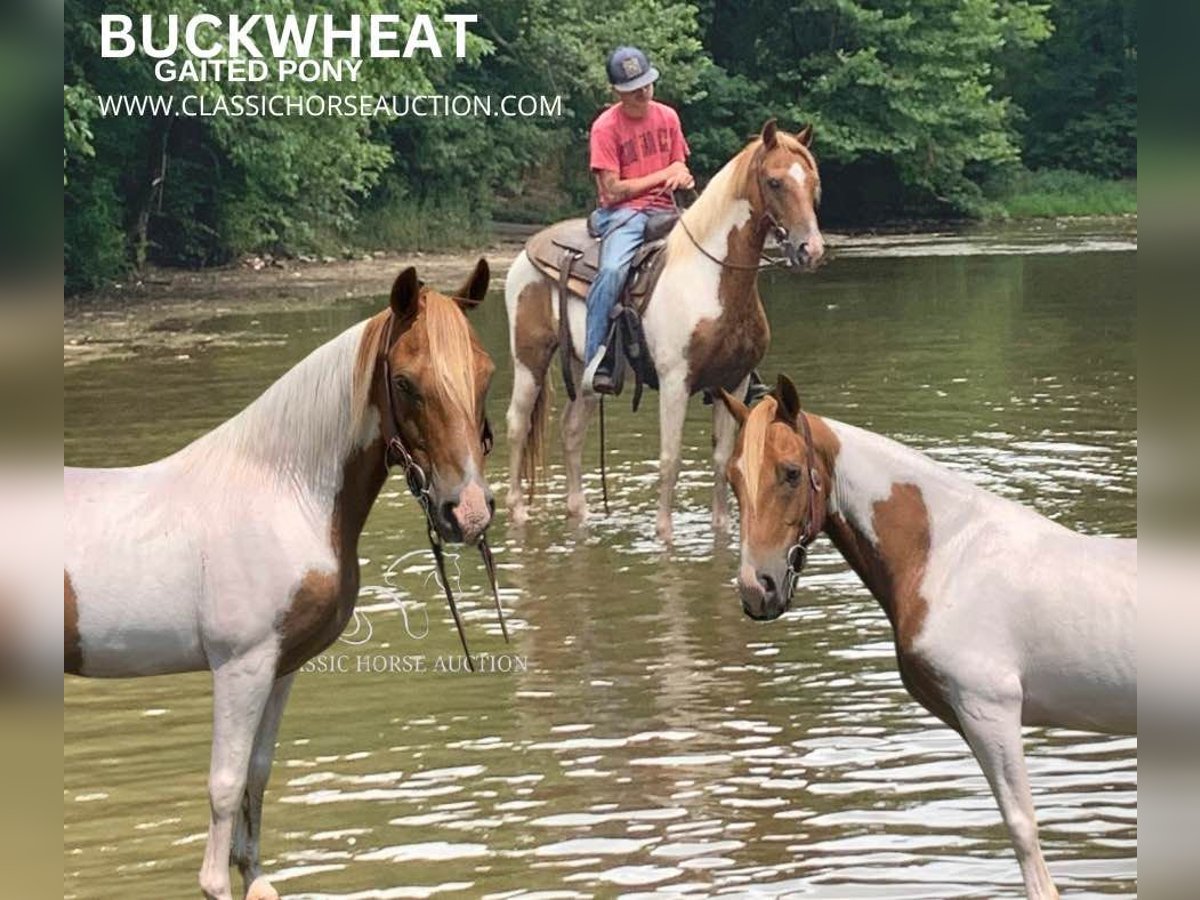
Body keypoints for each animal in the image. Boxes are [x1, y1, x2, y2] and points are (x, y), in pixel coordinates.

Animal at [64, 260, 496, 900]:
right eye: (405, 382)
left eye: (485, 374)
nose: (467, 512)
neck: (284, 490)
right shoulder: (241, 665)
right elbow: (224, 786)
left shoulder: (281, 666)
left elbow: (257, 775)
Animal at [504, 118, 825, 542]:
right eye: (774, 181)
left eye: (812, 180)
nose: (811, 250)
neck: (711, 279)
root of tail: (528, 251)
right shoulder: (676, 382)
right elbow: (670, 460)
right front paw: (664, 536)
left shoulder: (734, 382)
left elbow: (722, 460)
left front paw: (722, 533)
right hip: (529, 360)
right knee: (517, 424)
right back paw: (517, 512)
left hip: (584, 370)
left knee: (571, 431)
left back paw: (580, 515)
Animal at [715, 374, 1137, 900]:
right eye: (734, 478)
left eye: (791, 472)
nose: (757, 590)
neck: (949, 553)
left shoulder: (989, 710)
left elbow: (1023, 831)